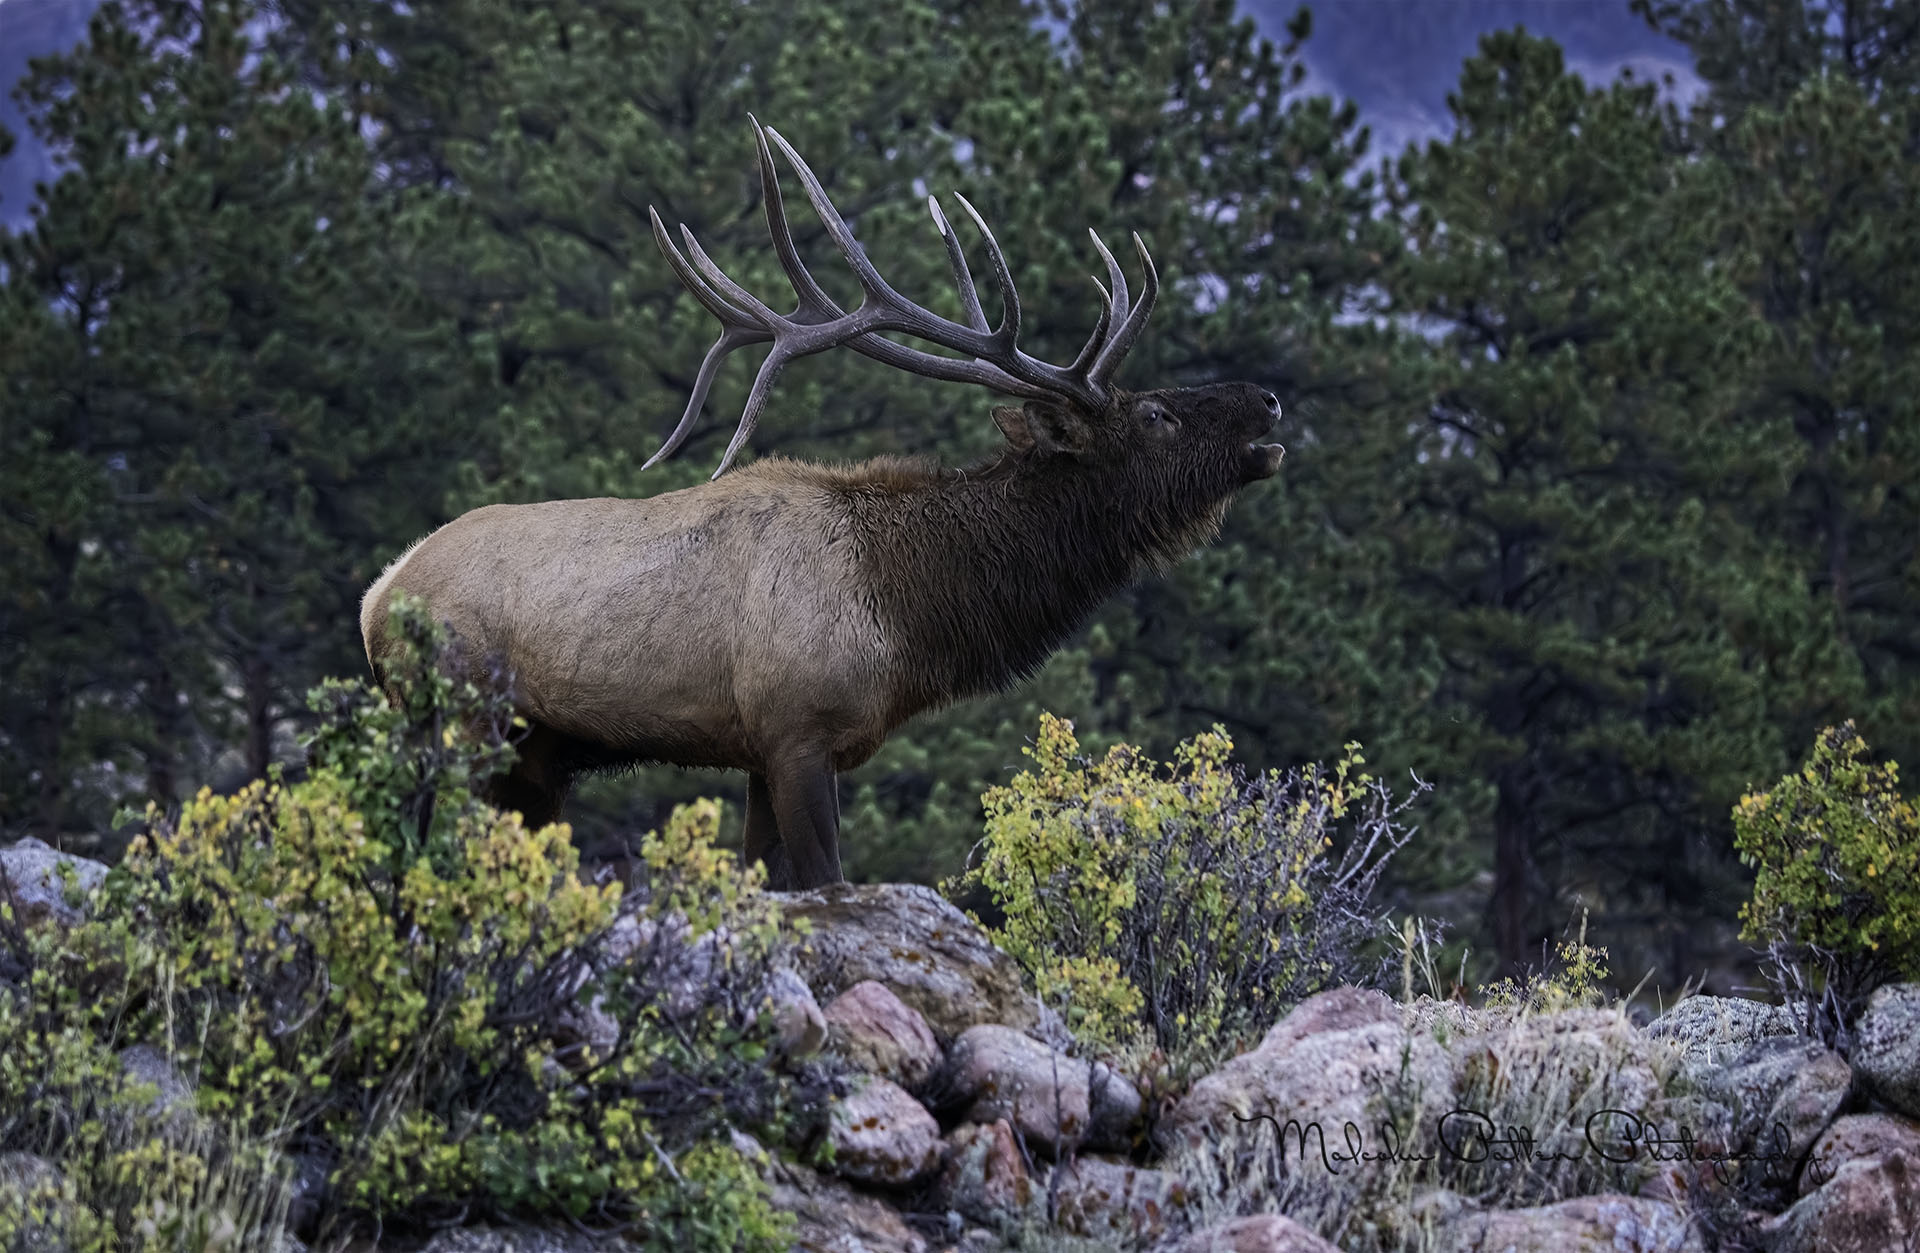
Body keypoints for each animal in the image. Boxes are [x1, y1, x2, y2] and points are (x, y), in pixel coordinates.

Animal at [362, 114, 1290, 878]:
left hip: (532, 758)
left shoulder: (759, 754)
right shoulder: (797, 730)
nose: (1269, 400)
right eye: (1158, 414)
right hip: (463, 719)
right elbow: (825, 879)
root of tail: (378, 596)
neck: (909, 616)